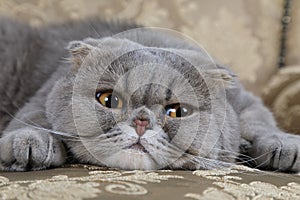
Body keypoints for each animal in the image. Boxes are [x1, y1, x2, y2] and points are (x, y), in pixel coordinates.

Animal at [0, 17, 300, 172]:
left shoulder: (246, 102)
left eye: (177, 111)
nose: (141, 121)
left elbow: (260, 121)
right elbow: (32, 118)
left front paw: (285, 148)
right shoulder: (41, 96)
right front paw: (27, 144)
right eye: (108, 99)